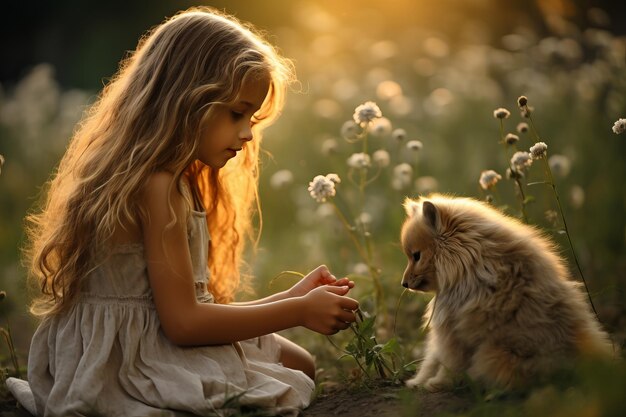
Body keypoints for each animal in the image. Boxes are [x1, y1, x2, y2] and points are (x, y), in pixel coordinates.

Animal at [400, 194, 608, 390]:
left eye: (416, 256)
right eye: (410, 256)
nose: (403, 283)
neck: (469, 265)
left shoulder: (452, 332)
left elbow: (448, 363)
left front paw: (437, 383)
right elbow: (431, 361)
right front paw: (417, 382)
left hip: (492, 355)